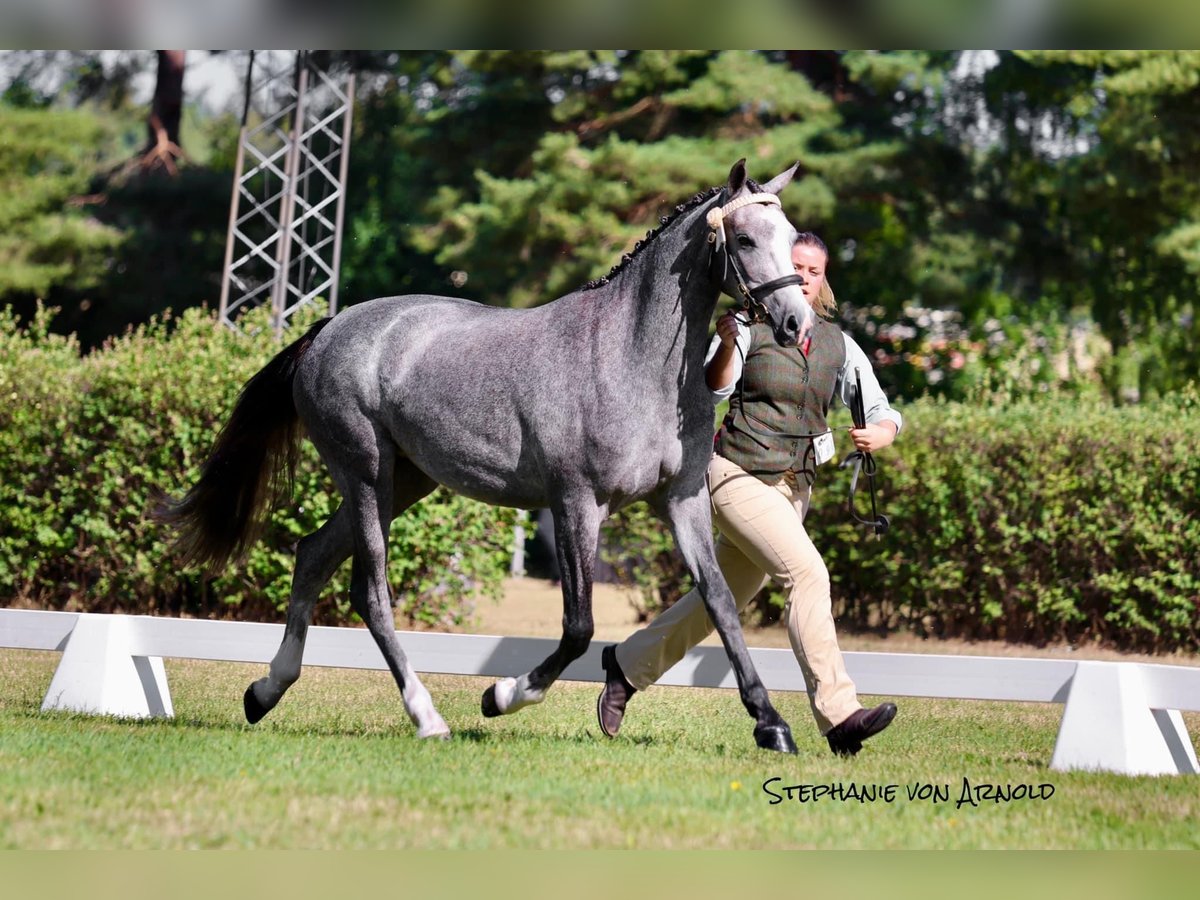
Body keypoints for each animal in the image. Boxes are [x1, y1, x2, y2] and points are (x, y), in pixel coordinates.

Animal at [159, 160, 816, 753]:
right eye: (746, 239)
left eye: (790, 238)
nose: (795, 323)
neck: (632, 356)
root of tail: (329, 328)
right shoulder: (577, 503)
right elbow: (579, 627)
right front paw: (501, 696)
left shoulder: (682, 499)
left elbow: (720, 604)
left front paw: (771, 725)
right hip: (365, 473)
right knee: (370, 593)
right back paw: (426, 717)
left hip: (406, 482)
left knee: (312, 555)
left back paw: (265, 691)